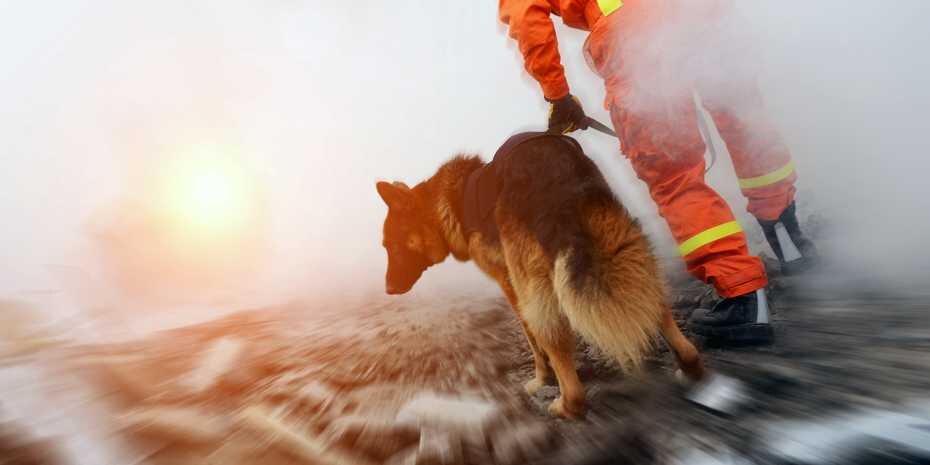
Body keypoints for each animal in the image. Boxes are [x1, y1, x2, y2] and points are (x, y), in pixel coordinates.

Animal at [376, 133, 704, 416]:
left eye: (390, 245)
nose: (388, 289)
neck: (448, 206)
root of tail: (552, 169)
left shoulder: (509, 283)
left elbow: (531, 338)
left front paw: (543, 377)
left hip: (535, 286)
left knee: (564, 366)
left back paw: (565, 405)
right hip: (620, 242)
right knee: (658, 306)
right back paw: (689, 365)